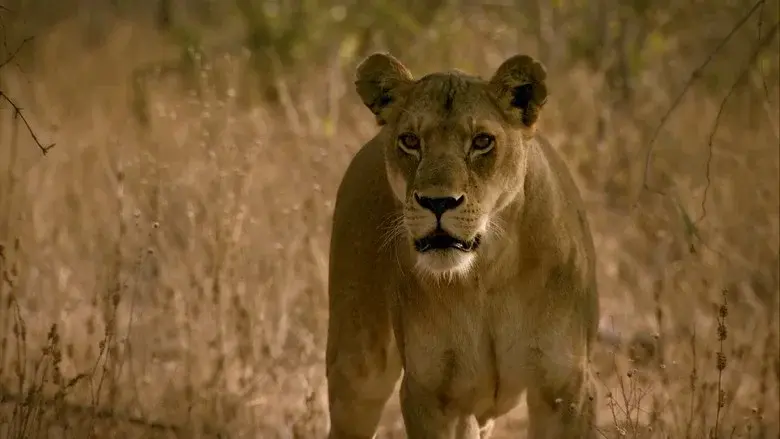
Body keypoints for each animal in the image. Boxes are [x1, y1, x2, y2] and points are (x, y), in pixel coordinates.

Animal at [326, 52, 600, 439]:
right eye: (410, 140)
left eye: (482, 141)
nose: (438, 202)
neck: (488, 273)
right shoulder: (432, 395)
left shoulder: (567, 388)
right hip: (356, 367)